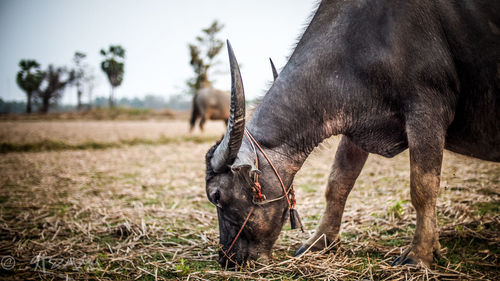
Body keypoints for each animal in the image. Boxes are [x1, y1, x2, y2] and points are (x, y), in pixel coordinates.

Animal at [205, 0, 498, 266]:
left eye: (217, 196)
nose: (226, 259)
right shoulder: (358, 123)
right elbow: (338, 183)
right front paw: (320, 241)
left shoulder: (427, 110)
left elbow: (423, 188)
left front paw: (419, 254)